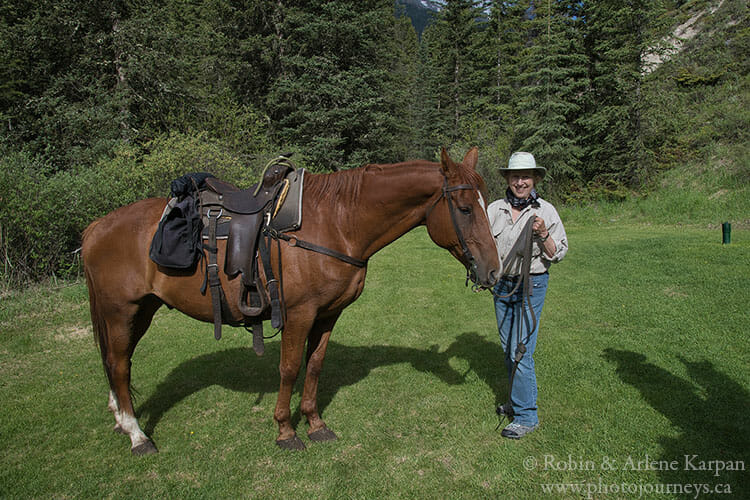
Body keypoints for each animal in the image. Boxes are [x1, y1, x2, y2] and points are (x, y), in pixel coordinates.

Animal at [82, 146, 502, 456]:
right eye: (466, 209)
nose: (494, 271)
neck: (336, 223)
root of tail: (96, 227)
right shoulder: (299, 314)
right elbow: (288, 368)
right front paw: (286, 431)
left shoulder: (328, 315)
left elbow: (314, 366)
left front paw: (315, 424)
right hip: (120, 311)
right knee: (118, 364)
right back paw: (137, 435)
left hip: (141, 310)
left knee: (118, 363)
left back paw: (121, 419)